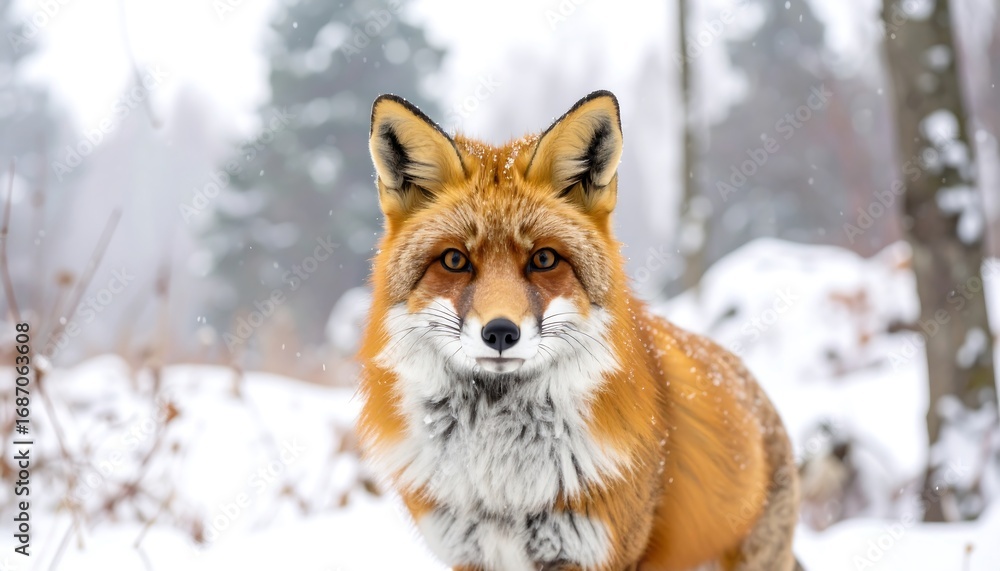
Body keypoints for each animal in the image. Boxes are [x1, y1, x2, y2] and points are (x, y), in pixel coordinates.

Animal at [357, 90, 801, 571]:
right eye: (455, 260)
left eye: (544, 259)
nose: (500, 333)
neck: (502, 488)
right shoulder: (471, 555)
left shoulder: (595, 552)